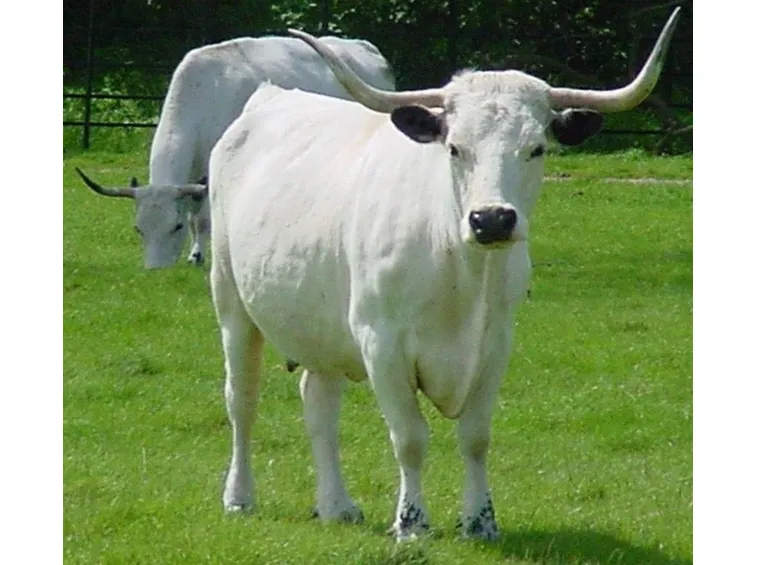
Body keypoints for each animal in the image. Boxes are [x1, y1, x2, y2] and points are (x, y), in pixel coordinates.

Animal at [74, 34, 396, 269]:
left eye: (175, 227)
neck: (203, 95)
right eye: (139, 229)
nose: (156, 270)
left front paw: (197, 255)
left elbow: (201, 219)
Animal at [207, 9, 681, 541]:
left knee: (319, 402)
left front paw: (480, 521)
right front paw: (411, 523)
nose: (492, 219)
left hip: (319, 325)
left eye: (536, 148)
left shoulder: (495, 344)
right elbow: (410, 438)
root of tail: (268, 98)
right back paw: (239, 497)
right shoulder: (381, 342)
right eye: (454, 148)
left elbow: (475, 437)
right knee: (242, 399)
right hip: (232, 303)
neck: (461, 272)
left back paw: (337, 505)